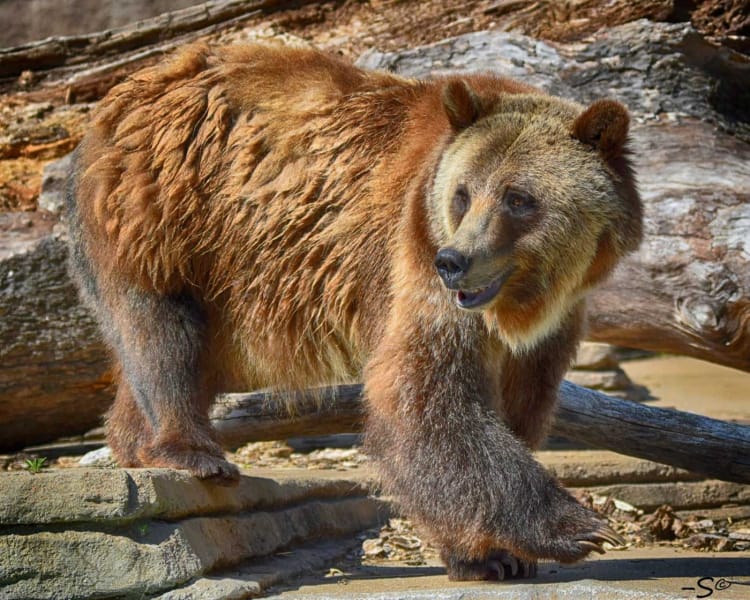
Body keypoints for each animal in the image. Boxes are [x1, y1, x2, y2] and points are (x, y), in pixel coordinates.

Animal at [66, 43, 640, 580]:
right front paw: (573, 529)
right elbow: (424, 393)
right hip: (168, 214)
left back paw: (134, 443)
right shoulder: (415, 250)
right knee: (163, 333)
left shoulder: (555, 320)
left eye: (518, 198)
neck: (522, 301)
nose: (455, 261)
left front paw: (499, 555)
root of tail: (118, 97)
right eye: (462, 194)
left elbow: (521, 403)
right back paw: (192, 451)